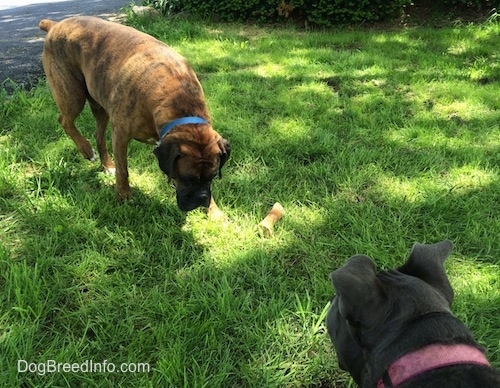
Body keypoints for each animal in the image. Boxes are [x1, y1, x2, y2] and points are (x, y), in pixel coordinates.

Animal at [39, 16, 230, 215]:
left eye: (212, 176)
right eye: (187, 178)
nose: (201, 198)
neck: (178, 99)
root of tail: (55, 25)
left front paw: (214, 210)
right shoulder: (121, 135)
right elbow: (123, 170)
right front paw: (123, 197)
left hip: (99, 105)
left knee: (98, 135)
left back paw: (107, 165)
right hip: (72, 95)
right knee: (64, 120)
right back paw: (86, 150)